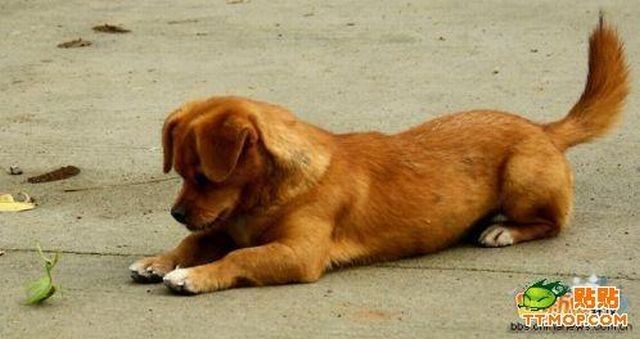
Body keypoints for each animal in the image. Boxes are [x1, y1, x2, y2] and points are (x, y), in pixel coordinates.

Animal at [129, 18, 624, 294]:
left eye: (205, 176)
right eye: (181, 173)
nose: (176, 213)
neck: (268, 196)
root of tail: (542, 128)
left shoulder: (297, 253)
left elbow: (239, 259)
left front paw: (193, 276)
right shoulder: (223, 228)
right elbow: (193, 244)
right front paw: (160, 260)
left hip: (523, 179)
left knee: (551, 223)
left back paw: (503, 231)